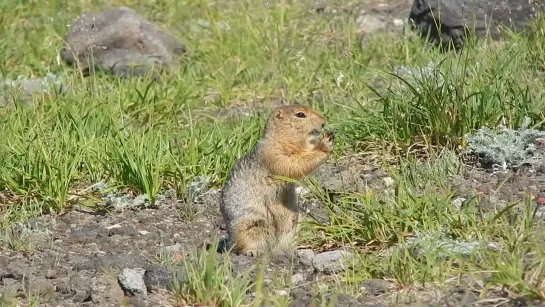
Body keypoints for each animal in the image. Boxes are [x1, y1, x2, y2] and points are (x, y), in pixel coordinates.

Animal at [219, 104, 334, 256]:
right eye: (300, 115)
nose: (324, 122)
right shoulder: (273, 153)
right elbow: (294, 164)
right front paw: (324, 144)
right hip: (250, 226)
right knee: (241, 246)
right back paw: (252, 251)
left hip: (293, 226)